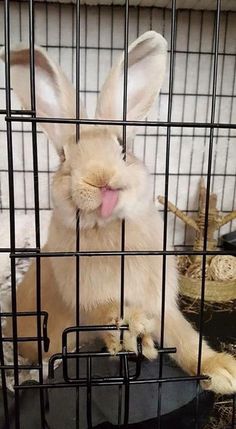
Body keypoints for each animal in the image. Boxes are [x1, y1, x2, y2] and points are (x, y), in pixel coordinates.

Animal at [0, 30, 236, 394]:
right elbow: (103, 316)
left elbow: (184, 337)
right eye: (64, 157)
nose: (101, 178)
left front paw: (223, 371)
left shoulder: (160, 302)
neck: (111, 229)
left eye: (123, 147)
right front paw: (128, 331)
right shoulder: (86, 305)